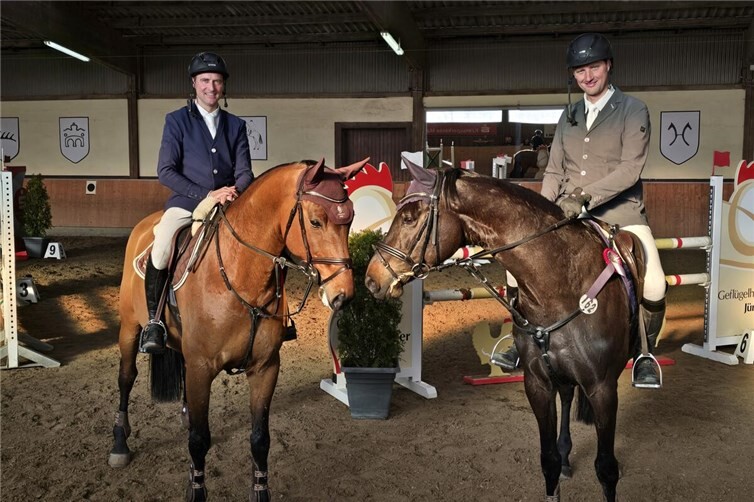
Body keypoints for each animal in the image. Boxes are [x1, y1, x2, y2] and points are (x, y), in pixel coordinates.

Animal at [109, 158, 367, 501]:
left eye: (349, 220)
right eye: (315, 222)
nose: (343, 295)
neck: (241, 274)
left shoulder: (265, 367)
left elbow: (259, 439)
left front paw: (260, 491)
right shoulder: (202, 367)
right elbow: (199, 440)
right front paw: (196, 490)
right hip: (129, 327)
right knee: (126, 378)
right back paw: (119, 443)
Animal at [365, 159, 640, 502]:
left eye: (409, 218)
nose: (371, 278)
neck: (560, 287)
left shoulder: (603, 389)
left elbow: (606, 468)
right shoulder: (538, 384)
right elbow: (548, 461)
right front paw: (558, 463)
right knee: (566, 396)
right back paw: (567, 456)